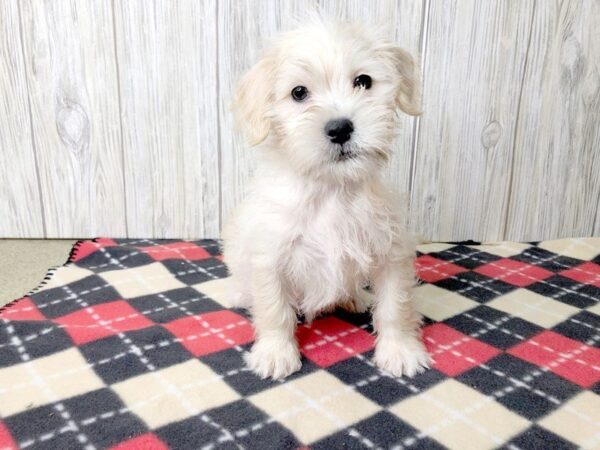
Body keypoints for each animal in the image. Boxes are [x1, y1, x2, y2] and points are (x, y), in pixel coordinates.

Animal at [223, 20, 428, 380]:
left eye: (363, 81)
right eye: (298, 93)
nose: (340, 128)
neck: (332, 189)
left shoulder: (391, 252)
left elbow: (395, 305)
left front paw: (400, 350)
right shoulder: (270, 255)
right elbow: (274, 309)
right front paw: (276, 353)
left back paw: (354, 297)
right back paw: (237, 292)